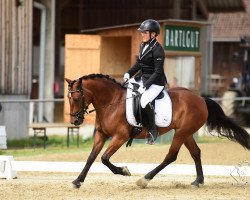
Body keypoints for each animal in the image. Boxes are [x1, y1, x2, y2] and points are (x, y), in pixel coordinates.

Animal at [65, 74, 250, 189]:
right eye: (68, 98)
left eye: (77, 98)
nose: (75, 121)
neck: (112, 102)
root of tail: (201, 99)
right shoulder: (101, 135)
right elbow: (91, 157)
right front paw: (77, 181)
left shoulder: (120, 136)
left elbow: (104, 158)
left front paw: (124, 171)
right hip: (186, 133)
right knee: (196, 152)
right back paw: (198, 181)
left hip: (180, 133)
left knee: (171, 156)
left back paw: (144, 180)